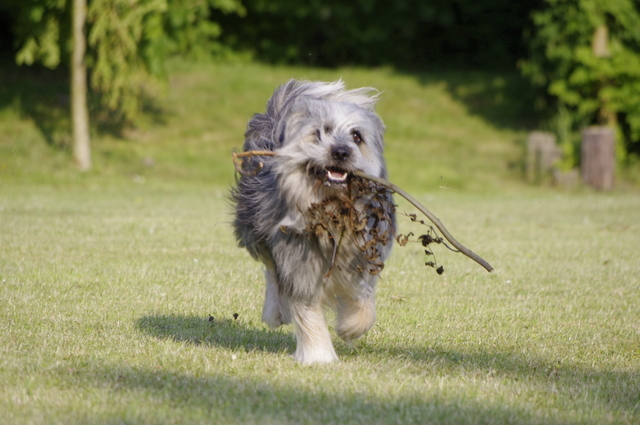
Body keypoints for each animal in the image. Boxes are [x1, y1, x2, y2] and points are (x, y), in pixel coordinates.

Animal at [232, 80, 392, 364]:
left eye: (357, 136)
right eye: (320, 133)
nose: (340, 152)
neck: (332, 208)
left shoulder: (363, 256)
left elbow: (362, 299)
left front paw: (351, 327)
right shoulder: (299, 262)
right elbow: (308, 313)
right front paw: (319, 356)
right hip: (256, 229)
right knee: (271, 271)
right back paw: (276, 312)